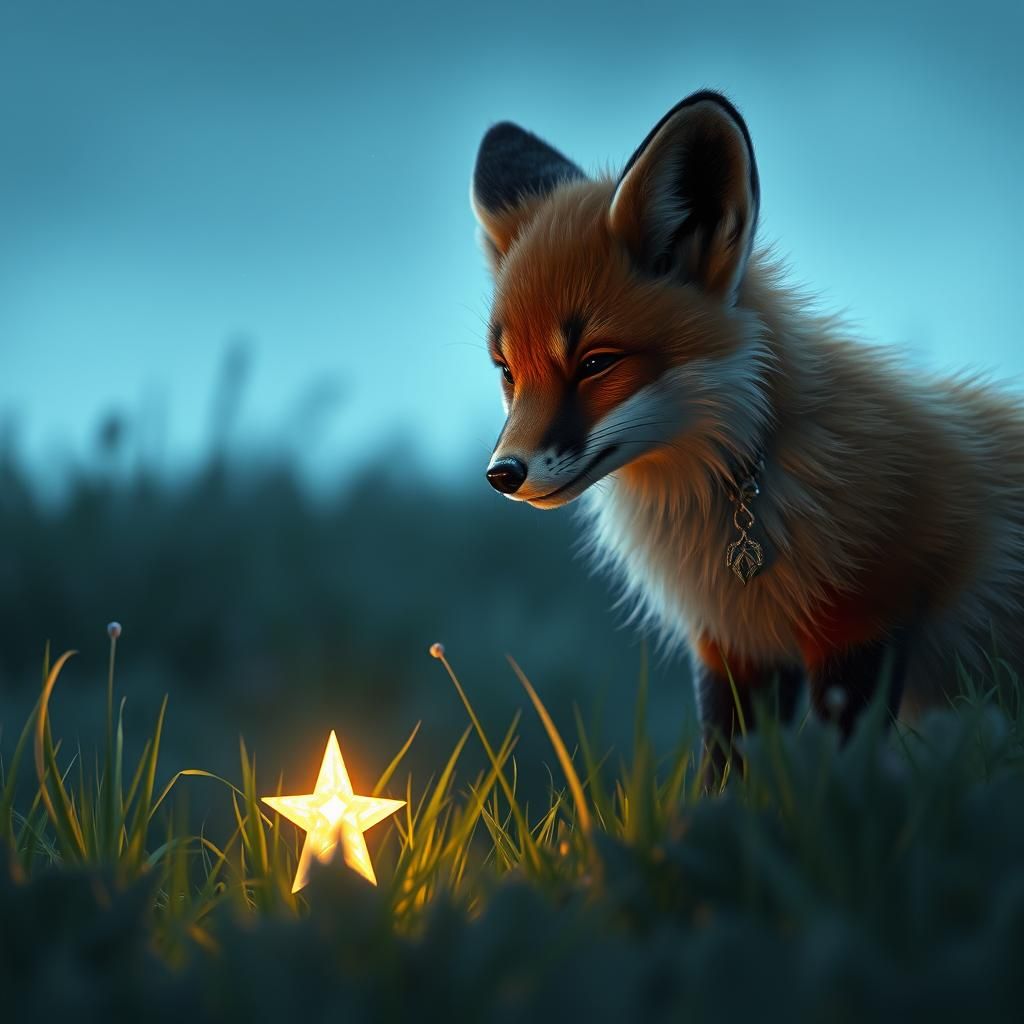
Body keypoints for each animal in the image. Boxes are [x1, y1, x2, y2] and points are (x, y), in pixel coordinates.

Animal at [470, 90, 1024, 772]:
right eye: (507, 371)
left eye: (596, 363)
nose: (503, 474)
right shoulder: (733, 651)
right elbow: (725, 779)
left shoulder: (867, 625)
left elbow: (838, 778)